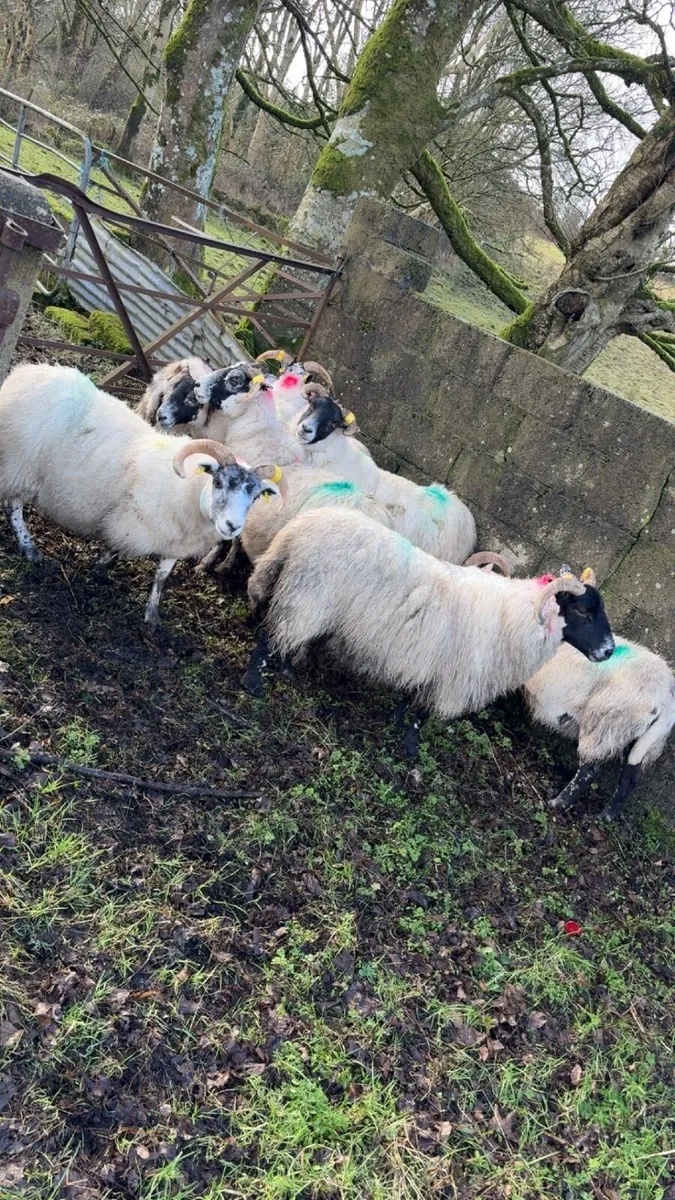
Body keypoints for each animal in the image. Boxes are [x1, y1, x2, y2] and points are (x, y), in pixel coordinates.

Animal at [0, 364, 283, 625]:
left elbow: (161, 577)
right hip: (19, 463)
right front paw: (98, 569)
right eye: (220, 482)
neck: (189, 490)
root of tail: (25, 373)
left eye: (255, 497)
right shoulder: (130, 523)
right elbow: (114, 548)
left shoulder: (174, 543)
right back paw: (29, 548)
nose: (232, 526)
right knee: (13, 505)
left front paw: (152, 615)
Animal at [242, 508, 615, 756]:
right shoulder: (451, 673)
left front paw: (394, 725)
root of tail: (299, 528)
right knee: (269, 637)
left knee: (286, 635)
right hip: (308, 598)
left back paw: (287, 670)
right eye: (583, 610)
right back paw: (253, 684)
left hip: (305, 600)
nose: (609, 650)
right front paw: (410, 750)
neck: (512, 615)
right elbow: (422, 714)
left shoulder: (428, 662)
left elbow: (409, 700)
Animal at [523, 568, 675, 821]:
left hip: (605, 723)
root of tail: (665, 697)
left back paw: (558, 804)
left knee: (589, 770)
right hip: (639, 739)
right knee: (629, 777)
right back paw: (606, 816)